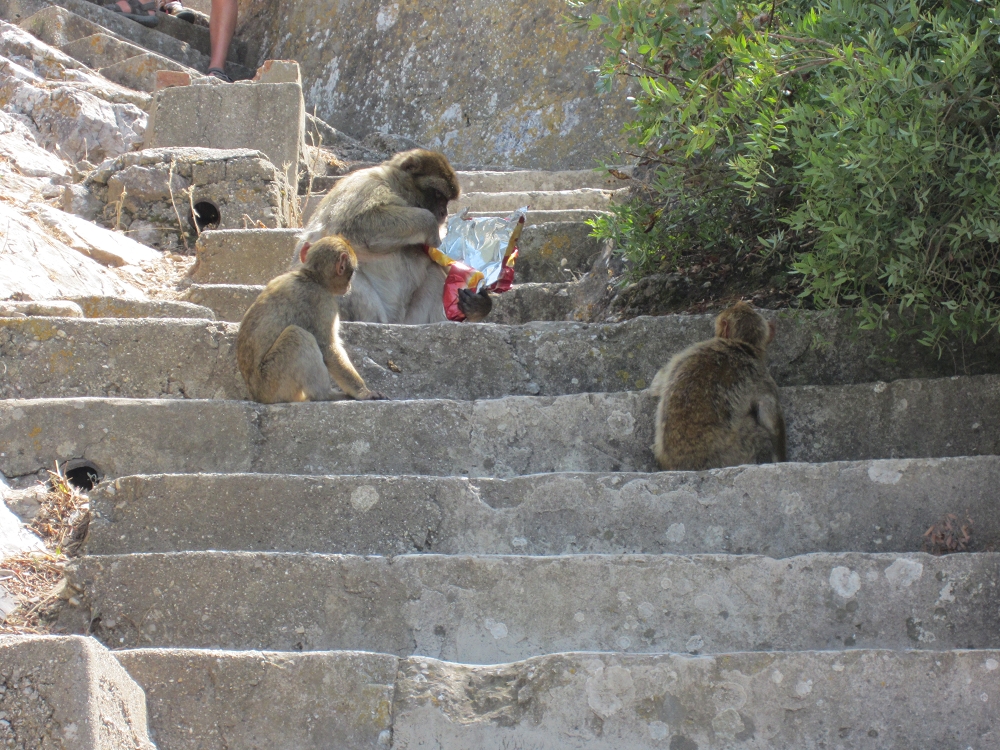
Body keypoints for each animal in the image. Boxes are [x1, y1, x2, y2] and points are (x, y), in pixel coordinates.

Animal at [236, 235, 386, 404]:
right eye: (352, 272)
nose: (349, 286)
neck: (311, 277)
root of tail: (257, 396)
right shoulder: (322, 302)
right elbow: (328, 348)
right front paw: (363, 392)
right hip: (273, 382)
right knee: (298, 336)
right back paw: (325, 395)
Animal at [296, 149, 493, 324]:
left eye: (446, 200)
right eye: (438, 194)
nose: (444, 212)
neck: (396, 188)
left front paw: (479, 304)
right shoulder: (368, 184)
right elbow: (355, 222)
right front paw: (431, 229)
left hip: (412, 319)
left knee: (433, 273)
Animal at [651, 301, 786, 471]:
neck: (740, 344)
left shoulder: (687, 352)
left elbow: (658, 381)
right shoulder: (761, 375)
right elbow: (771, 419)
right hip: (738, 449)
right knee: (761, 435)